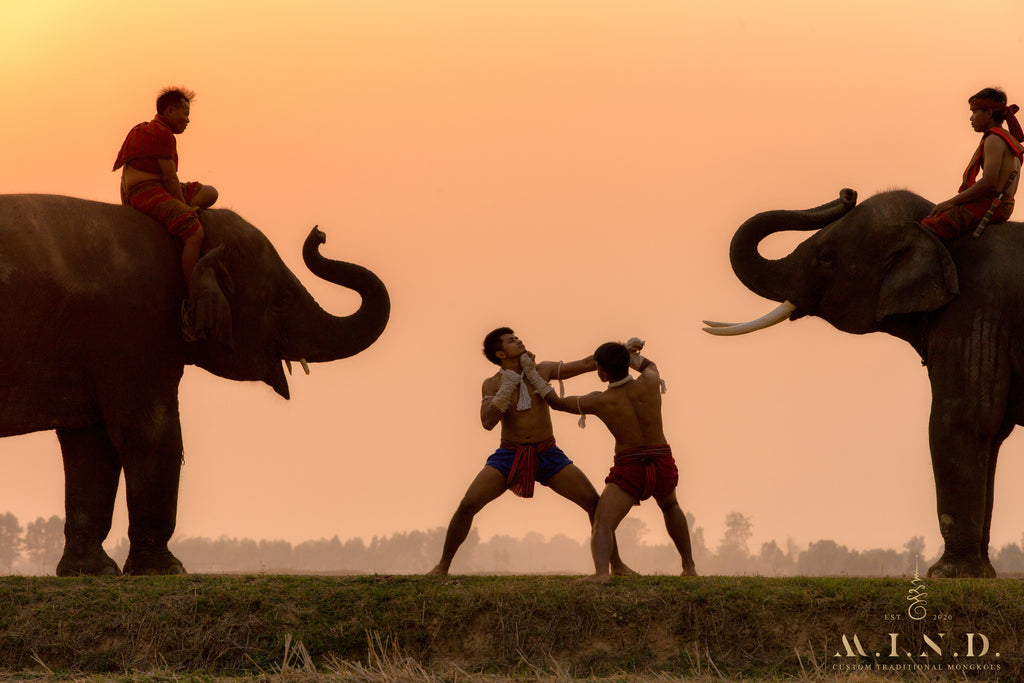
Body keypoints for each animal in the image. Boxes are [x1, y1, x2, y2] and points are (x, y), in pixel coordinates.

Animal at [0, 193, 389, 577]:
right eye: (283, 298)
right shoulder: (133, 331)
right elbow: (152, 434)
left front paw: (93, 572)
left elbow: (90, 445)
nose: (319, 234)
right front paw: (167, 570)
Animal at [704, 189, 1024, 581]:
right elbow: (991, 433)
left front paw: (945, 574)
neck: (936, 232)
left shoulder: (976, 315)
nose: (848, 193)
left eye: (825, 258)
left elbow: (962, 419)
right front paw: (980, 575)